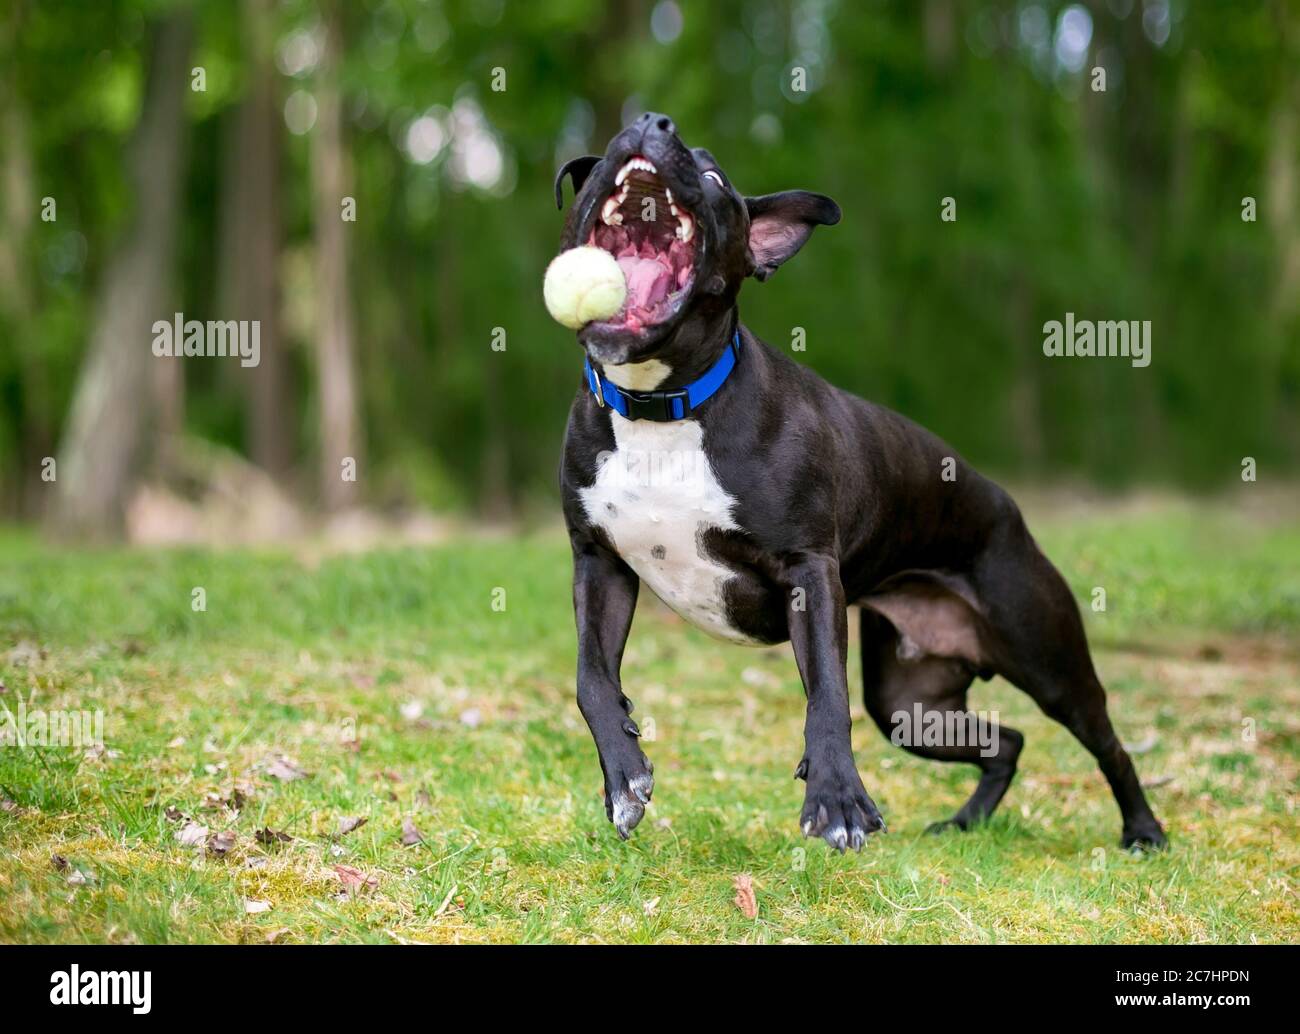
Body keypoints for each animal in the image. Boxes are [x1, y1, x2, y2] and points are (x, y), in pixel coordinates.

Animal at [555, 113, 1166, 852]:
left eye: (714, 177)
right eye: (609, 148)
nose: (649, 121)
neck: (662, 406)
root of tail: (1006, 505)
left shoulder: (809, 571)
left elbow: (826, 696)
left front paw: (838, 800)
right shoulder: (600, 564)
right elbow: (591, 678)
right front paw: (626, 778)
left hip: (1048, 662)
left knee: (1107, 742)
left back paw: (1143, 830)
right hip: (910, 703)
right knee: (1009, 742)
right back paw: (966, 822)